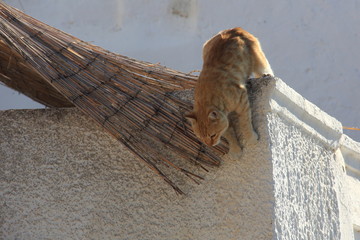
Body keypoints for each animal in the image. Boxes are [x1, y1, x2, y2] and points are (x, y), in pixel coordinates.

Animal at [186, 26, 272, 154]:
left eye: (212, 135)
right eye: (201, 138)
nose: (210, 145)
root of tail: (234, 29)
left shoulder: (242, 102)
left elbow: (245, 124)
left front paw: (251, 139)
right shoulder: (226, 118)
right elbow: (229, 135)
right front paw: (236, 150)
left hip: (260, 63)